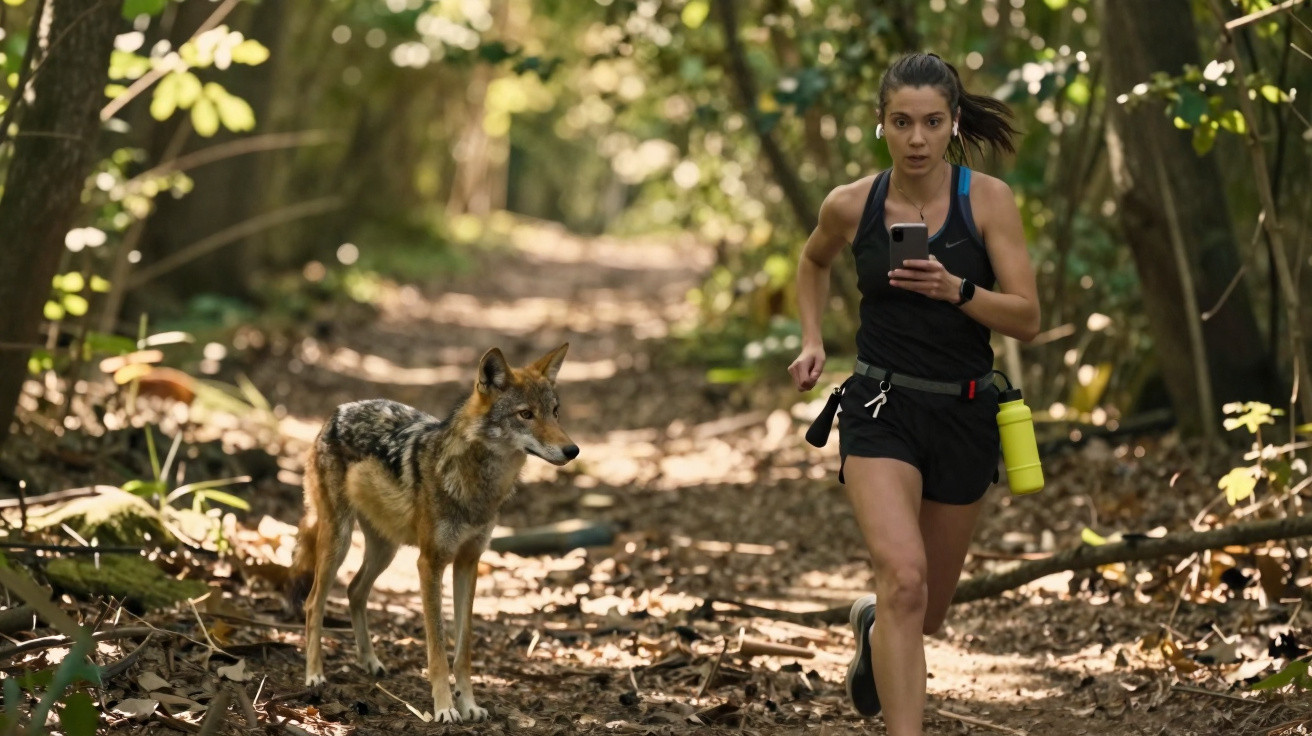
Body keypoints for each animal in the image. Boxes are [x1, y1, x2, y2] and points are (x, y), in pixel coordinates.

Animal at [289, 343, 578, 724]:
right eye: (526, 414)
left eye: (555, 412)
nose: (573, 451)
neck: (478, 487)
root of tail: (337, 412)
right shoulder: (430, 563)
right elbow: (438, 649)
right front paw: (444, 708)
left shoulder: (469, 562)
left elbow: (464, 647)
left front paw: (469, 704)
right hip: (339, 541)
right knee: (313, 603)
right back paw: (314, 675)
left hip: (385, 549)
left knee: (354, 590)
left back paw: (370, 662)